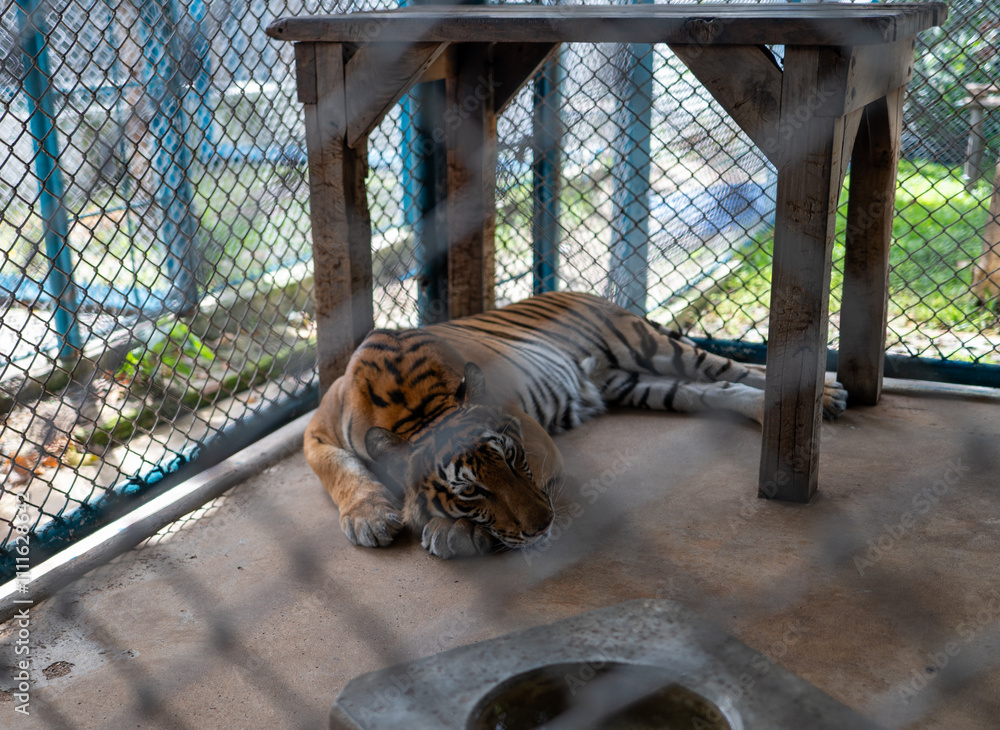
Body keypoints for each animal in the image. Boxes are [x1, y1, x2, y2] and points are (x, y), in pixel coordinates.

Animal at [304, 291, 848, 559]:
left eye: (513, 458)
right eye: (470, 491)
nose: (544, 525)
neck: (417, 410)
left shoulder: (536, 436)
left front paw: (449, 532)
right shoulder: (317, 432)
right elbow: (341, 471)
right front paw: (370, 517)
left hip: (649, 344)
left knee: (733, 368)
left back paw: (826, 395)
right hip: (636, 382)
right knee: (717, 391)